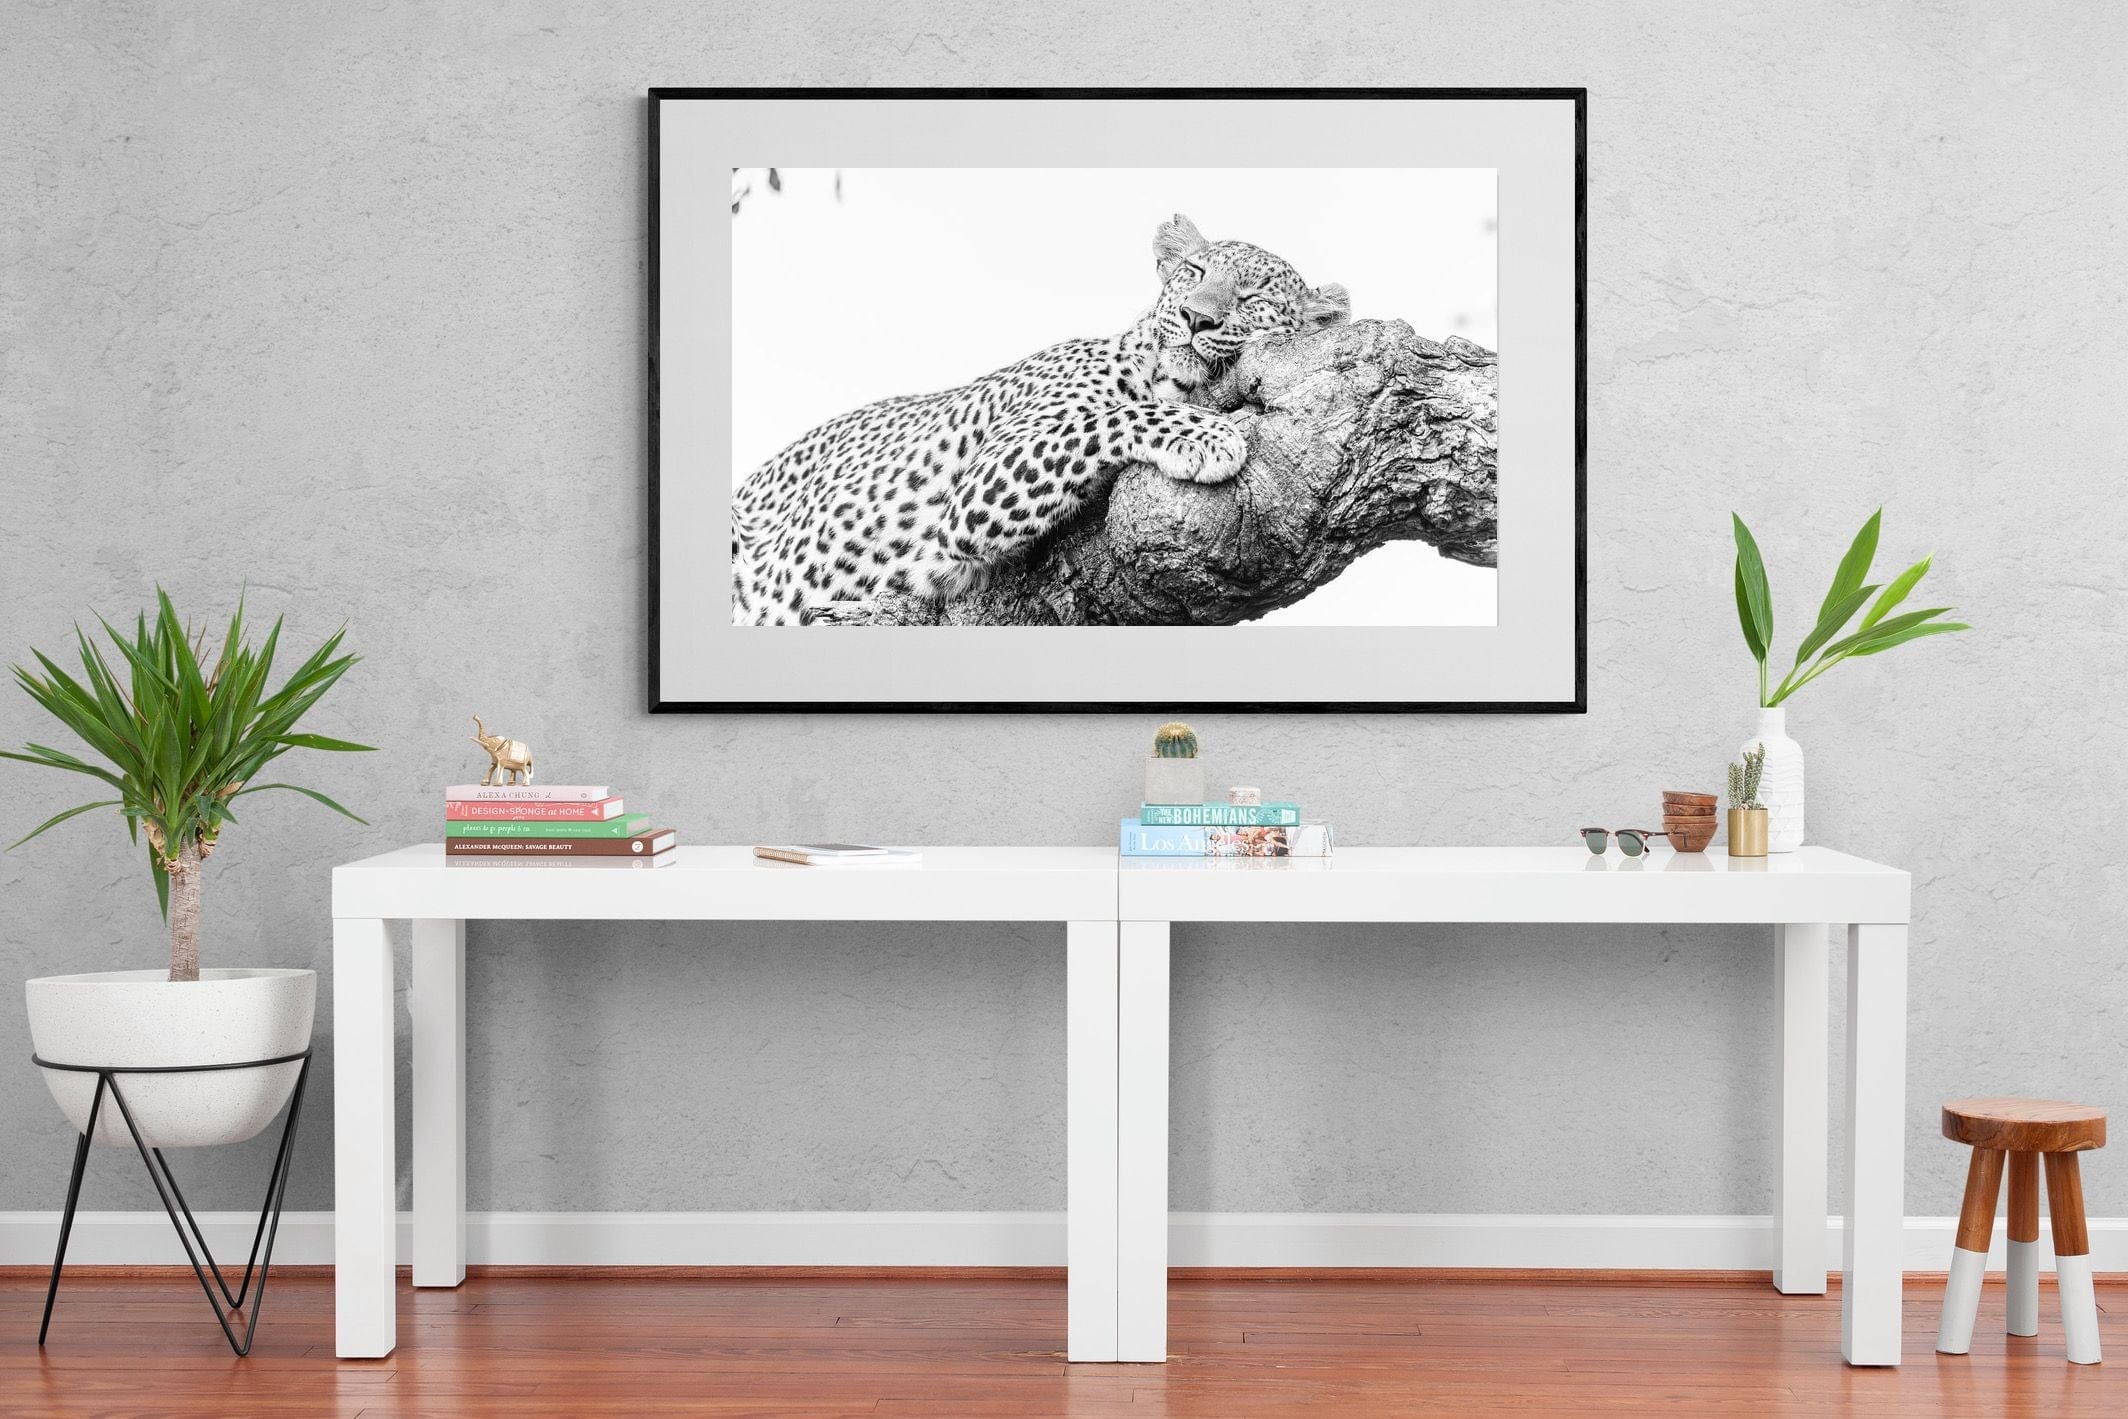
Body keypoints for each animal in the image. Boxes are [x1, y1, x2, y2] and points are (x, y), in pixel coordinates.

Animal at [731, 214, 1349, 625]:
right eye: (1194, 272)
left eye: (1252, 298)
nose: (1196, 318)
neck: (1163, 372)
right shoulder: (977, 490)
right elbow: (1110, 416)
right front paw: (1208, 433)